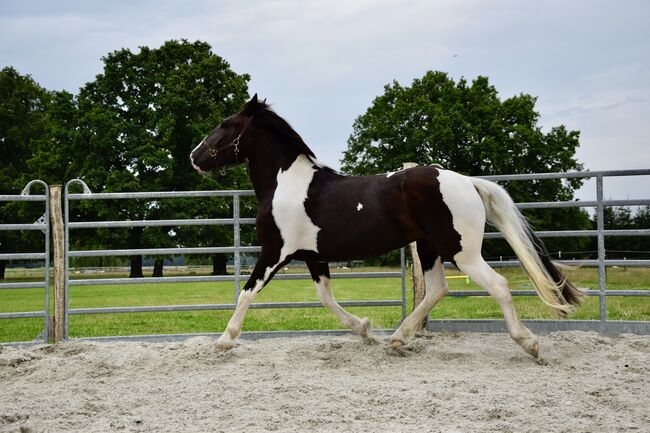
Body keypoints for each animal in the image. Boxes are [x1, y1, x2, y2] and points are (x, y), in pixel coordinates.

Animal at [189, 95, 584, 358]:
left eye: (226, 125)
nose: (194, 157)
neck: (287, 184)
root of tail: (468, 182)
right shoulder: (314, 257)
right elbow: (327, 299)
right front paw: (365, 331)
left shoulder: (275, 252)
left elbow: (247, 293)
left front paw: (224, 340)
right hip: (429, 247)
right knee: (437, 289)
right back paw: (397, 338)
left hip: (463, 252)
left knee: (498, 286)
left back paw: (529, 343)